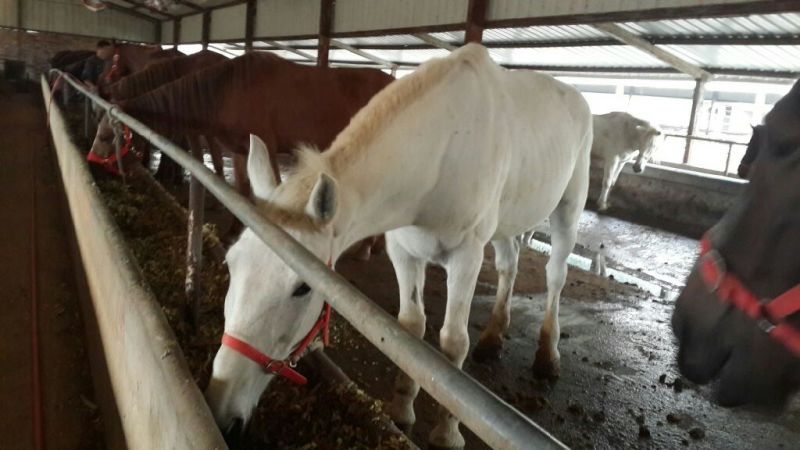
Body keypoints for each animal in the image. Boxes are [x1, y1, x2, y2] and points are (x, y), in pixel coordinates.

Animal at [204, 44, 592, 448]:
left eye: (303, 288)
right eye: (231, 264)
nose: (221, 410)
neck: (441, 150)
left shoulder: (466, 258)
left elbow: (453, 342)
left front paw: (447, 433)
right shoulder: (404, 253)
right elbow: (410, 331)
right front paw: (402, 410)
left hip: (568, 209)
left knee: (556, 275)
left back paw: (547, 356)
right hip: (507, 222)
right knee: (509, 264)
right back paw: (493, 339)